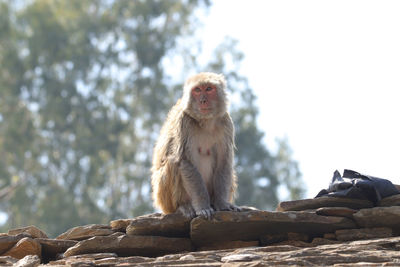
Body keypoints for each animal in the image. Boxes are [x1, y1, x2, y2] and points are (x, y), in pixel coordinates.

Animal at [152, 73, 241, 220]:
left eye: (209, 89)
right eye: (197, 90)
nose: (203, 100)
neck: (205, 122)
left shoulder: (226, 123)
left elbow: (224, 163)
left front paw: (222, 204)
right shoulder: (184, 122)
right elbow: (186, 162)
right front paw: (202, 207)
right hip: (164, 200)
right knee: (173, 162)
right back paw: (183, 206)